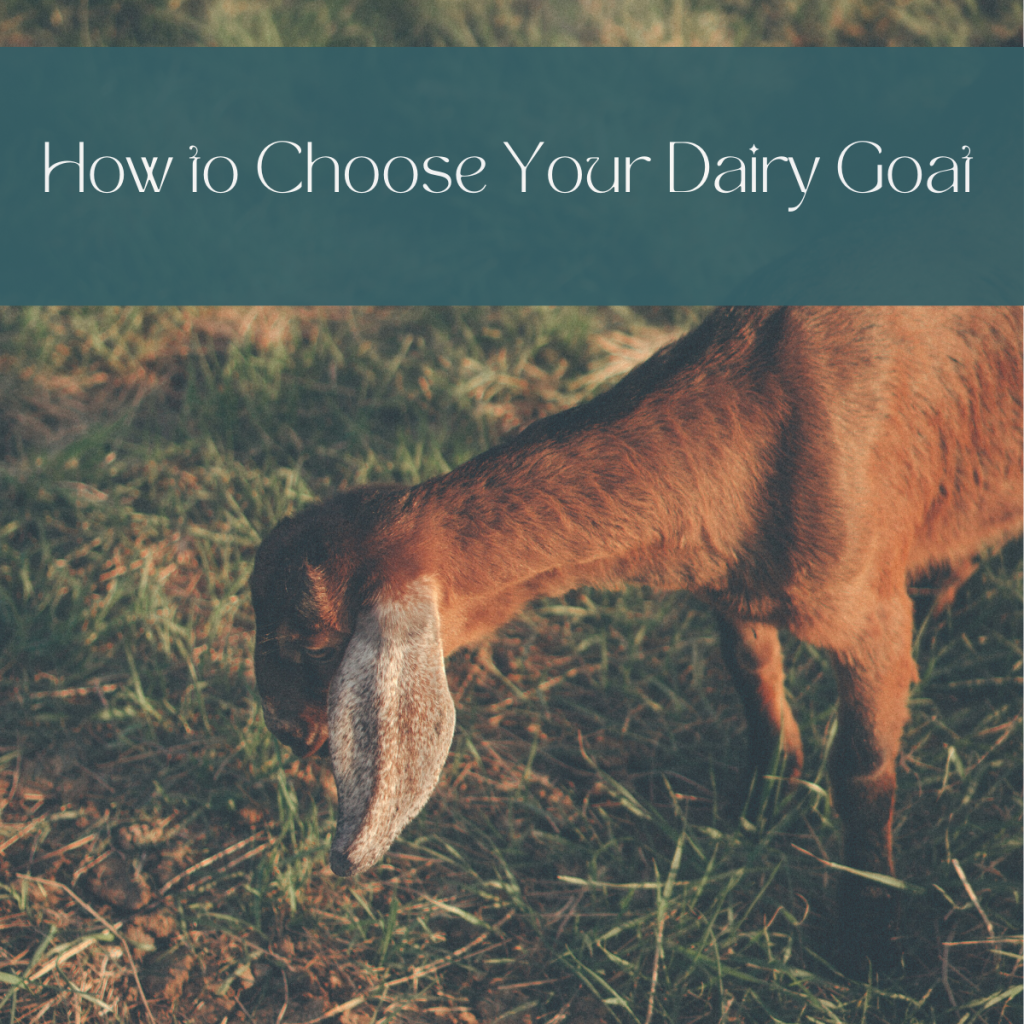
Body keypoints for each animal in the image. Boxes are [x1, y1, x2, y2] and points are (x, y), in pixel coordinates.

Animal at [249, 307, 1024, 962]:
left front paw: (867, 927)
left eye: (314, 646)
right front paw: (765, 791)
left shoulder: (871, 615)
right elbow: (751, 669)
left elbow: (862, 769)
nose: (286, 732)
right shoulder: (733, 584)